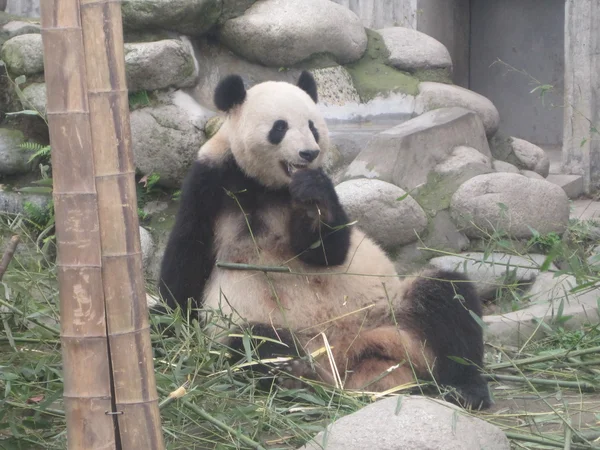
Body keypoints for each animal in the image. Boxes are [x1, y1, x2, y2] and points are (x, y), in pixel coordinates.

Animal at [159, 69, 492, 408]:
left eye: (312, 127)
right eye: (280, 127)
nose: (309, 153)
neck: (269, 187)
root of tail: (353, 357)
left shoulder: (318, 191)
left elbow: (329, 251)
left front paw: (313, 203)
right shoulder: (210, 182)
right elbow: (187, 259)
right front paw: (167, 327)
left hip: (389, 312)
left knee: (448, 300)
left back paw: (465, 387)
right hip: (274, 330)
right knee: (254, 342)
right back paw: (295, 372)